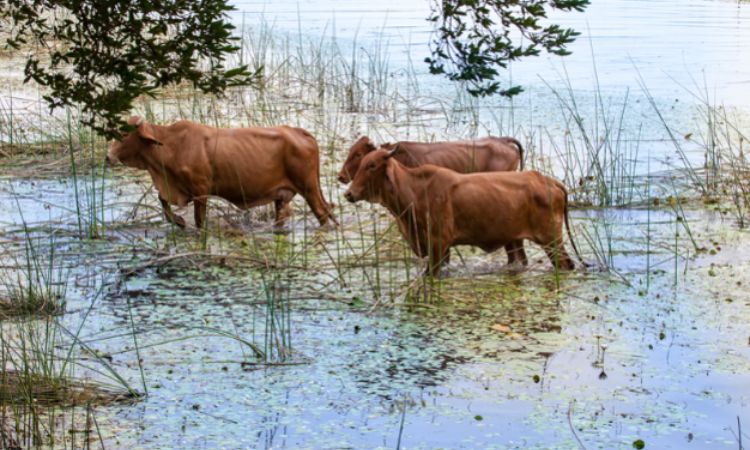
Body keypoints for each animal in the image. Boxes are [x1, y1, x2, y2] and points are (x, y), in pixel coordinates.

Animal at [107, 117, 336, 229]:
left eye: (124, 133)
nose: (108, 157)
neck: (172, 145)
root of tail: (299, 132)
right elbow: (163, 203)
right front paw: (179, 221)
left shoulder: (200, 191)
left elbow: (199, 221)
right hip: (282, 195)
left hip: (309, 187)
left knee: (323, 213)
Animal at [344, 148, 584, 276]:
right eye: (362, 163)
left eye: (372, 165)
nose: (349, 194)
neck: (415, 190)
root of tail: (549, 181)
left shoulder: (438, 243)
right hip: (515, 240)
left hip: (551, 239)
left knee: (565, 264)